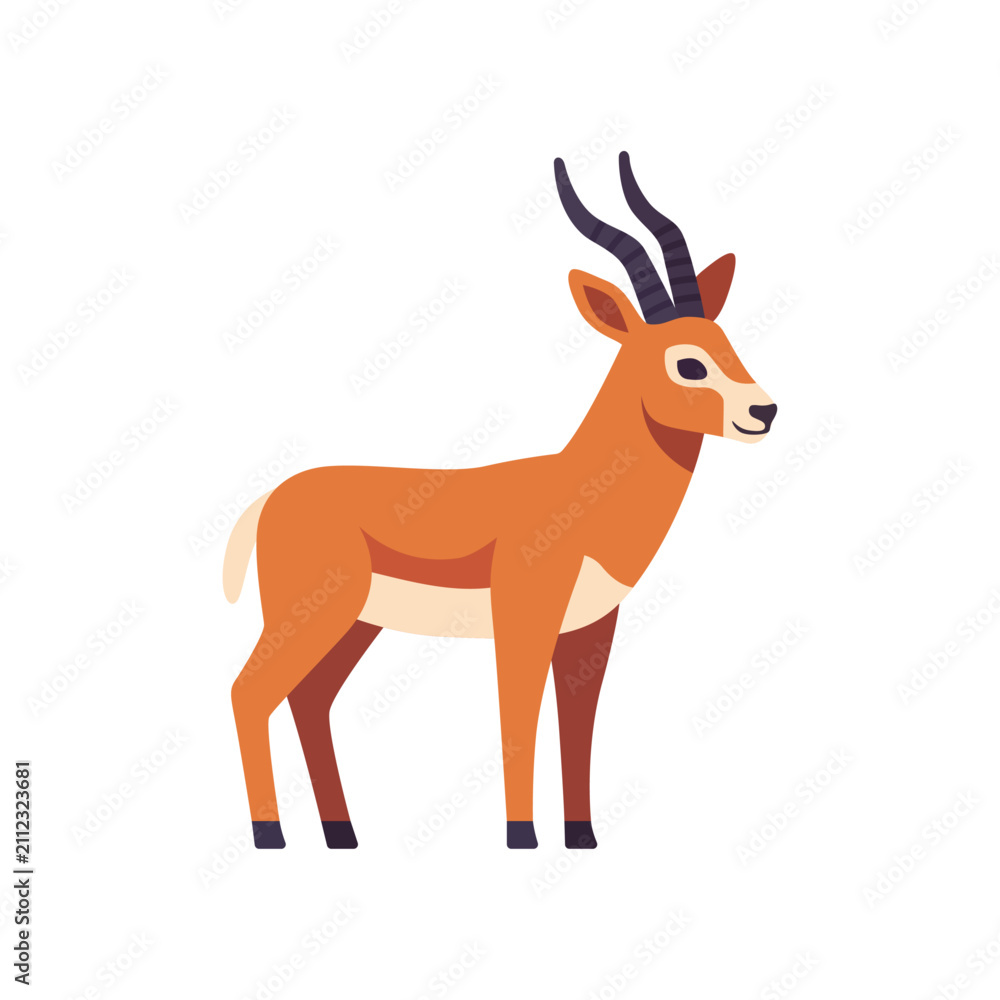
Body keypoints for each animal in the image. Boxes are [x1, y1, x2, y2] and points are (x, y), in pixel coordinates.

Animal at [224, 151, 777, 850]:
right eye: (688, 364)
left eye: (728, 345)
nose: (763, 411)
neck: (579, 495)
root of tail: (267, 500)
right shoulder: (523, 619)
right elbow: (518, 714)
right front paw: (521, 836)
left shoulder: (590, 630)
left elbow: (578, 725)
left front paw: (581, 836)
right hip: (310, 618)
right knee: (249, 693)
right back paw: (270, 834)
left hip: (354, 625)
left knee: (308, 701)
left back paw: (343, 833)